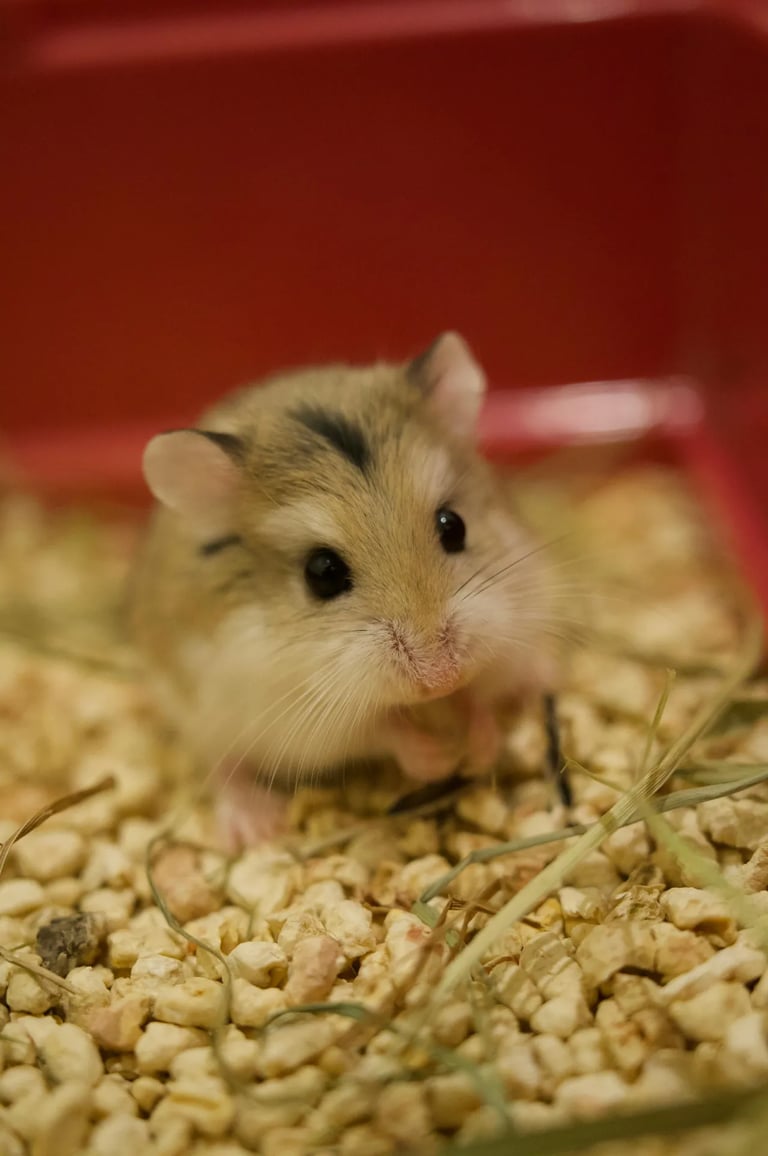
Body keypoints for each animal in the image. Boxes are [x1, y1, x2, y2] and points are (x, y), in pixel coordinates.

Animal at [132, 333, 557, 849]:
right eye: (322, 573)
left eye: (453, 525)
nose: (441, 678)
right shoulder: (305, 715)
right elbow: (381, 729)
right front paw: (438, 759)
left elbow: (478, 700)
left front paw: (478, 750)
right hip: (206, 719)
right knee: (222, 767)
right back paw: (257, 828)